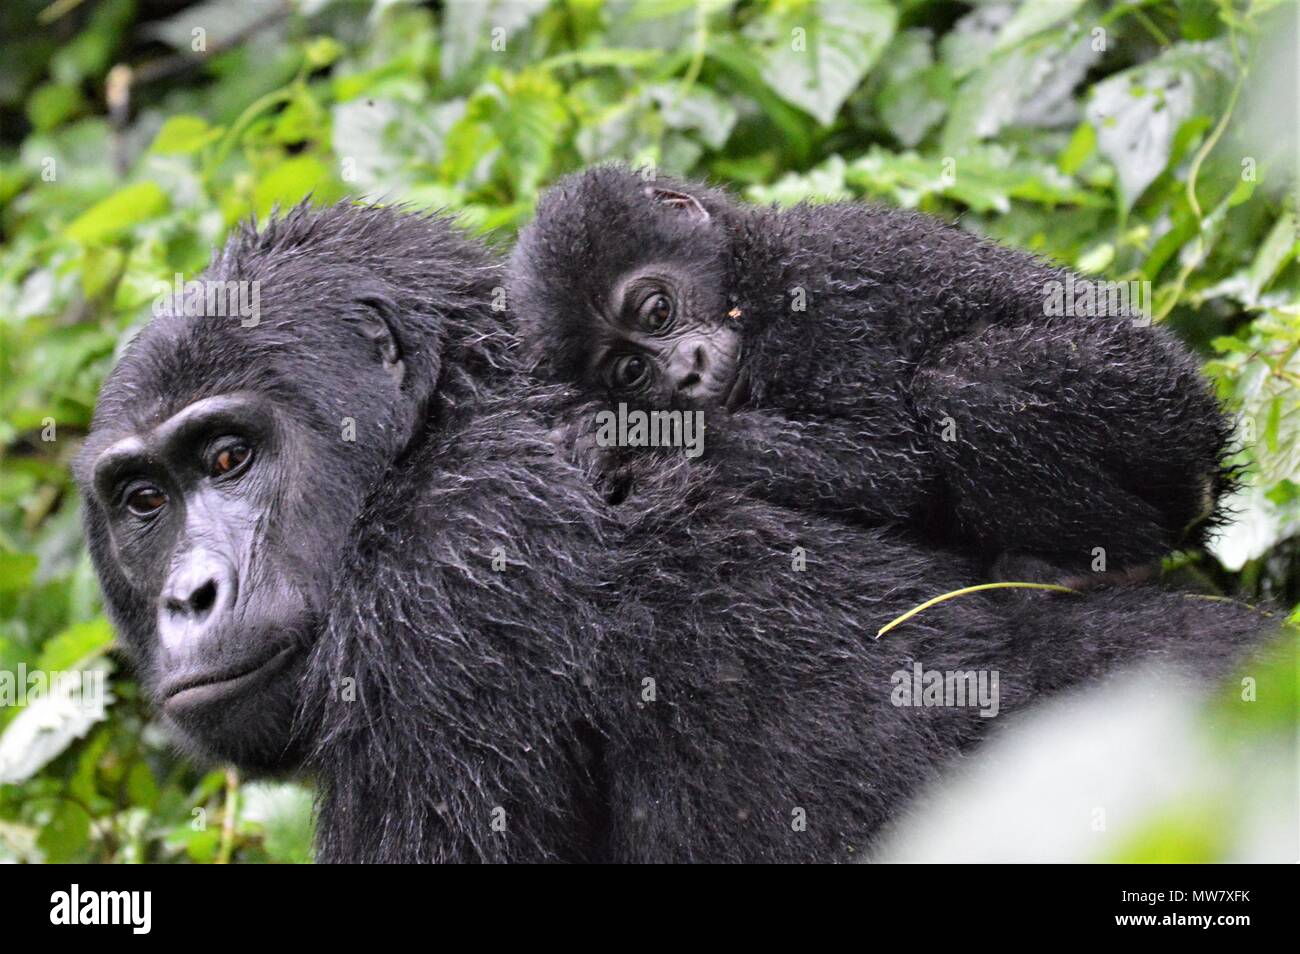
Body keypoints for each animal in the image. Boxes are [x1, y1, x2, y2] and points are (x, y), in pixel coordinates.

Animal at [506, 166, 1227, 574]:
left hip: (1153, 402)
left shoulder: (820, 291)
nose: (685, 372)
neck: (750, 275)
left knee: (972, 388)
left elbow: (891, 463)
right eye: (630, 371)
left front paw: (623, 435)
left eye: (656, 310)